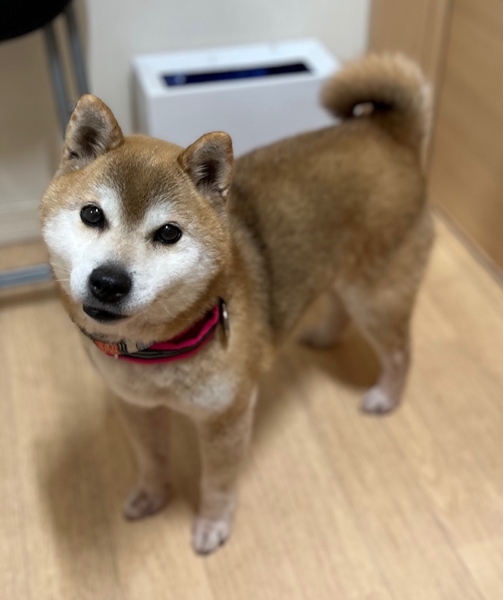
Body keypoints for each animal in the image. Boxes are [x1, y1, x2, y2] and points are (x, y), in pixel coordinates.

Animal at [40, 53, 434, 554]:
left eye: (168, 233)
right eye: (92, 214)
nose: (109, 281)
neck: (158, 353)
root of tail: (387, 133)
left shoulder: (226, 417)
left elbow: (218, 483)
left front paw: (212, 524)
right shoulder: (137, 407)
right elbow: (152, 459)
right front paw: (152, 494)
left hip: (376, 296)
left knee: (400, 351)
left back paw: (386, 396)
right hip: (342, 276)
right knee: (338, 307)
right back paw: (322, 336)